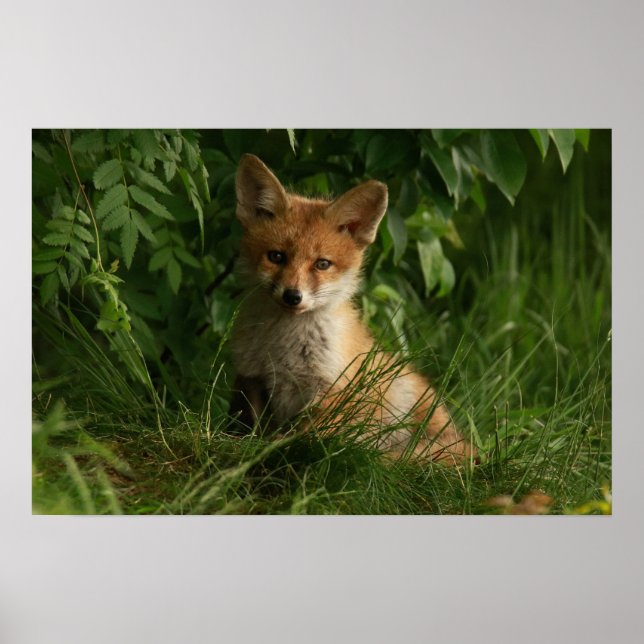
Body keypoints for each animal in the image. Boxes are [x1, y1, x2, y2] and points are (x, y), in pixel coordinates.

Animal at [230, 154, 472, 463]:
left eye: (322, 264)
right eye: (276, 256)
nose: (293, 296)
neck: (283, 348)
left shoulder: (333, 390)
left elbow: (304, 436)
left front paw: (277, 448)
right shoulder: (252, 377)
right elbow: (252, 426)